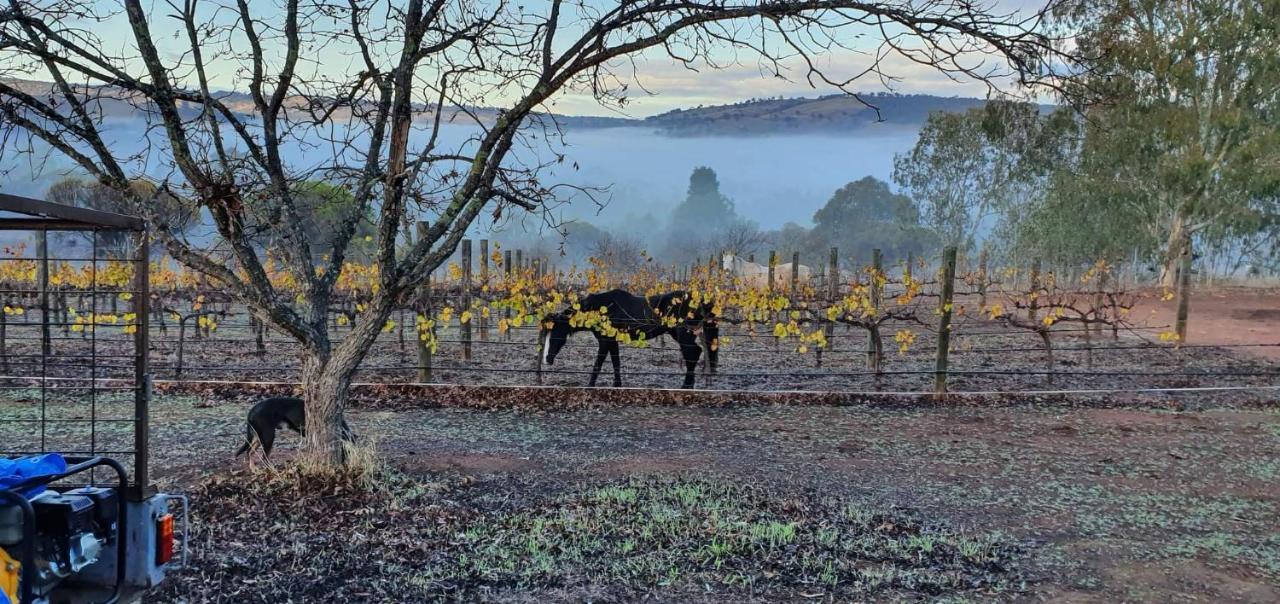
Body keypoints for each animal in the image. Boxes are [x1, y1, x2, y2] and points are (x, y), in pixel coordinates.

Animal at [540, 290, 721, 389]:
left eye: (555, 333)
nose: (547, 360)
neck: (601, 309)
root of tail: (700, 301)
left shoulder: (605, 341)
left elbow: (598, 364)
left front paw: (590, 385)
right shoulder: (611, 341)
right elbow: (616, 362)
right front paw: (617, 385)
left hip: (684, 334)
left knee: (693, 353)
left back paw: (686, 386)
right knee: (695, 353)